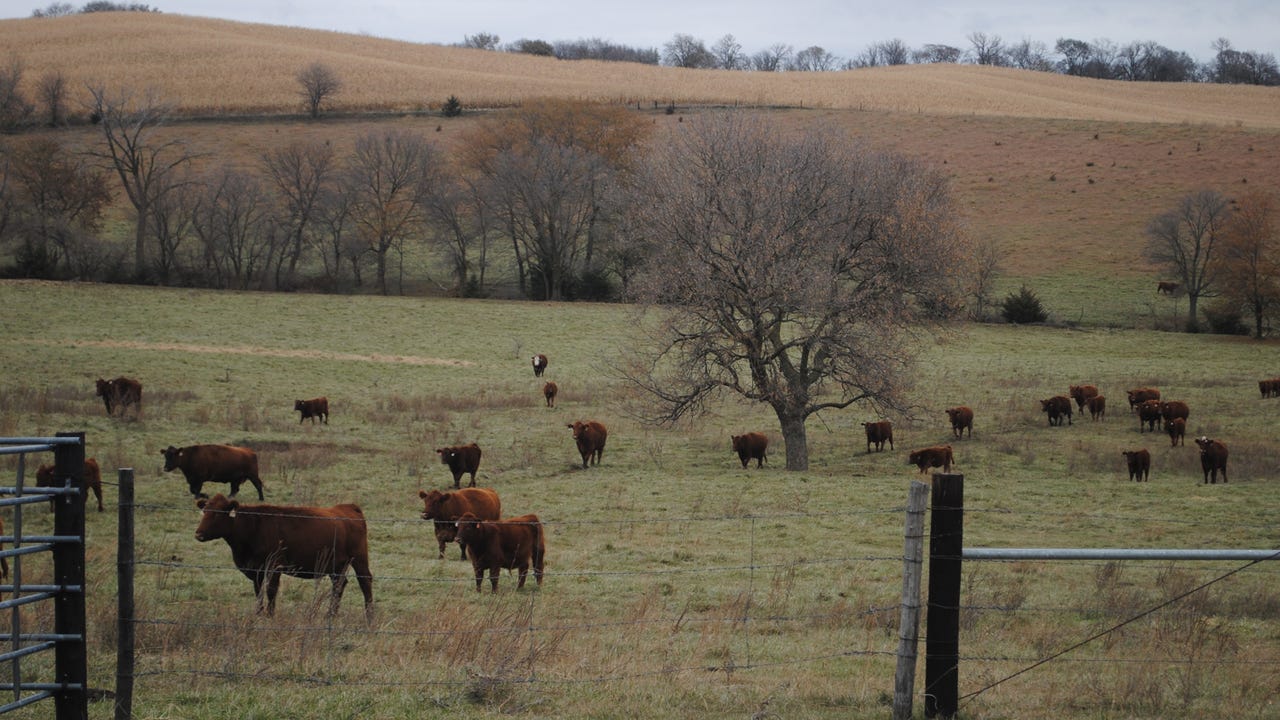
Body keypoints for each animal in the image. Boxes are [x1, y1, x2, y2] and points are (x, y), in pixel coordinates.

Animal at [194, 493, 373, 618]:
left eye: (218, 514)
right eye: (204, 512)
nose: (198, 534)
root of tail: (348, 507)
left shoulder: (275, 565)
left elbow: (271, 590)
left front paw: (270, 615)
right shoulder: (256, 569)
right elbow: (258, 591)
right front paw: (258, 614)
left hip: (359, 558)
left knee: (365, 582)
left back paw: (369, 616)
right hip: (336, 565)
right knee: (339, 585)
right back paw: (330, 615)